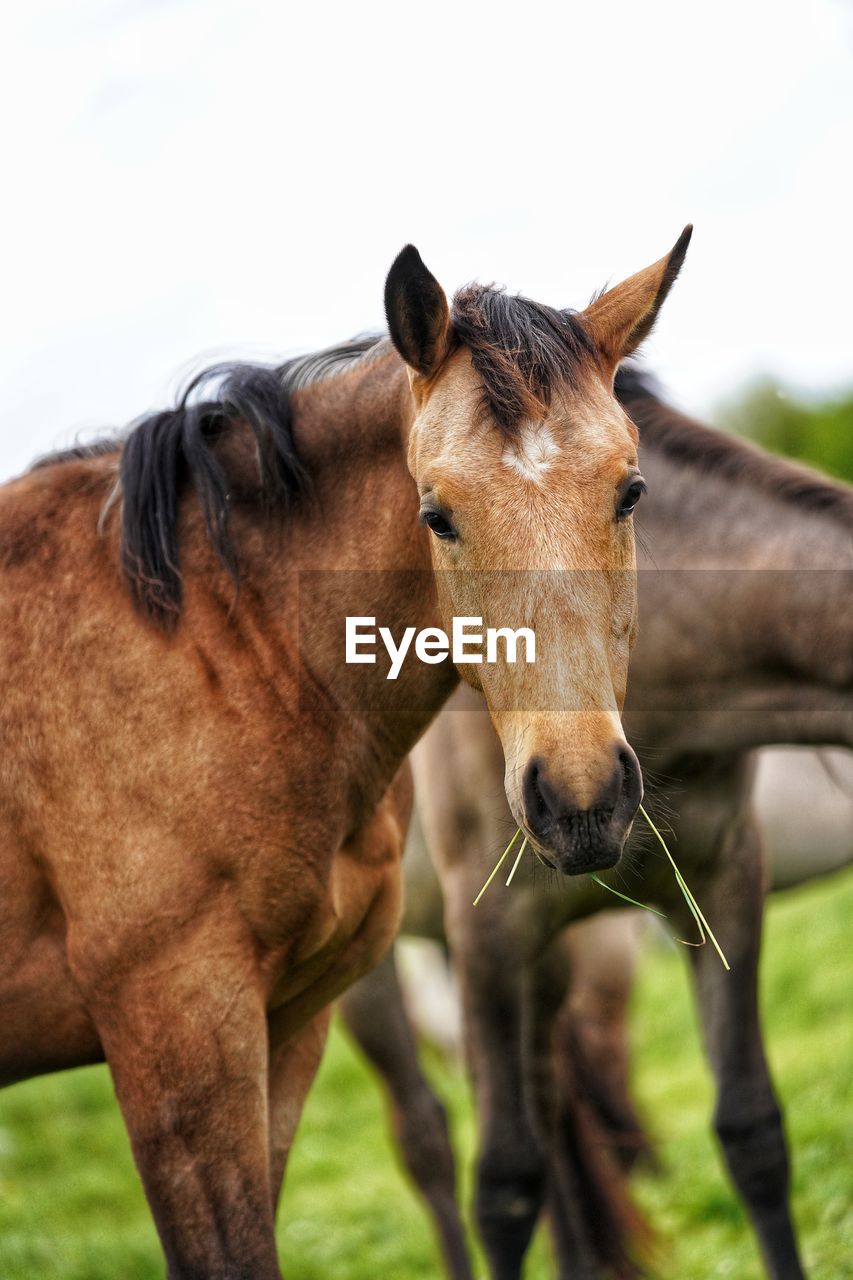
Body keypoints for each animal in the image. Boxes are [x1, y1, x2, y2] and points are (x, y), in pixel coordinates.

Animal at [0, 235, 686, 1274]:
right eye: (436, 515)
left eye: (630, 492)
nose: (580, 798)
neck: (222, 650)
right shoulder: (178, 1046)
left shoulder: (287, 1029)